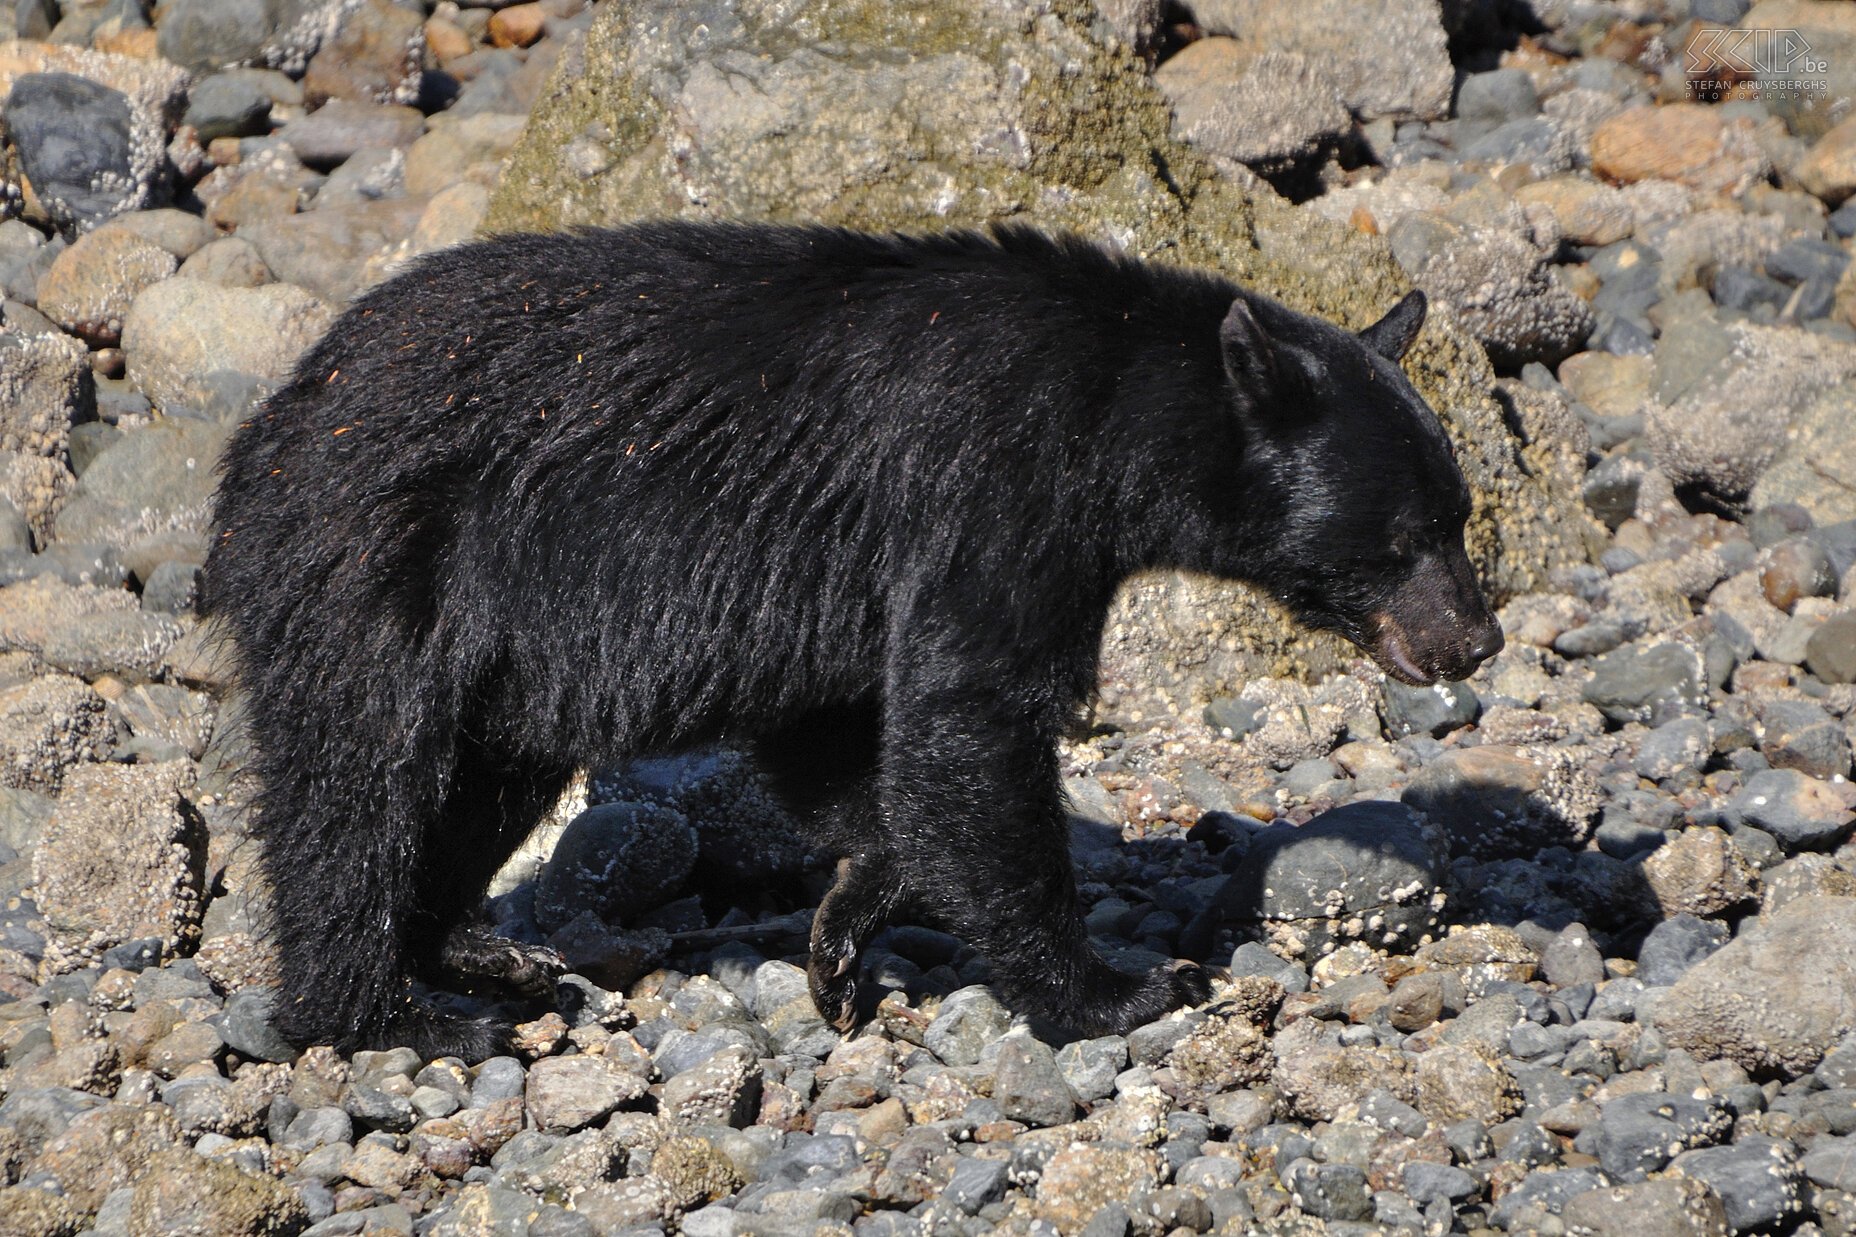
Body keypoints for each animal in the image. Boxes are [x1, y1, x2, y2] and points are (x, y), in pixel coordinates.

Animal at [206, 219, 1507, 1047]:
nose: (1476, 641)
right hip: (375, 558)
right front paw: (1112, 988)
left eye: (1458, 514)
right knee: (354, 784)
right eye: (1401, 537)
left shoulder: (835, 587)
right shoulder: (996, 489)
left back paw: (481, 956)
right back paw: (384, 1013)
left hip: (498, 654)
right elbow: (971, 713)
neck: (1116, 405)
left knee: (479, 780)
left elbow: (839, 730)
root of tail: (275, 417)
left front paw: (844, 927)